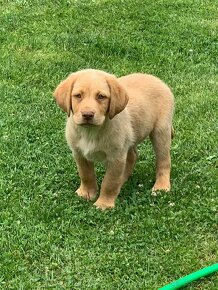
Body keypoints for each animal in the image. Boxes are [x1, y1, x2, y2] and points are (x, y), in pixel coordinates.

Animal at [53, 68, 175, 208]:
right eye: (78, 95)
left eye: (101, 96)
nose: (87, 115)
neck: (91, 131)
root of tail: (158, 80)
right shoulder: (79, 154)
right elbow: (86, 175)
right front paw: (86, 193)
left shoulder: (116, 157)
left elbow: (109, 182)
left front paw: (104, 203)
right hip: (129, 137)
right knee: (132, 156)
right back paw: (123, 179)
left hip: (161, 131)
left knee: (163, 160)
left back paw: (161, 186)